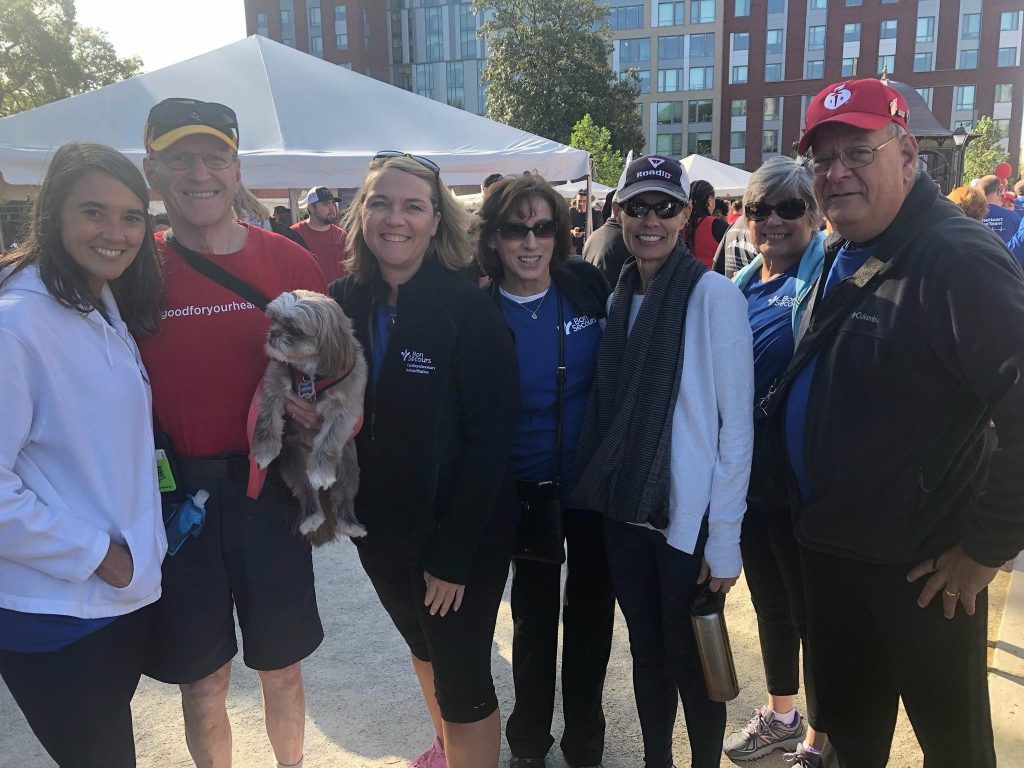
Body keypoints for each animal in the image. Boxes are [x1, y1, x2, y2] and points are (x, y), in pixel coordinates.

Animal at [251, 290, 368, 548]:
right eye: (274, 319)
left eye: (295, 329)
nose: (273, 334)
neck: (309, 373)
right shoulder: (274, 384)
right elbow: (267, 418)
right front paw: (264, 449)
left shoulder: (345, 409)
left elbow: (328, 439)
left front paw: (321, 472)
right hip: (292, 461)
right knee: (306, 492)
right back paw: (311, 518)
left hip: (348, 461)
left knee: (344, 494)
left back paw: (350, 523)